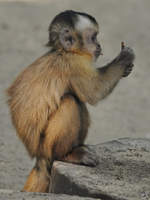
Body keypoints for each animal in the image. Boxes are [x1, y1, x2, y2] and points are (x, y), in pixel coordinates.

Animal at [6, 10, 135, 192]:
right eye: (93, 38)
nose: (99, 45)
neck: (64, 51)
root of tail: (39, 157)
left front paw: (126, 67)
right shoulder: (74, 63)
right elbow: (94, 92)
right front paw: (125, 59)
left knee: (77, 101)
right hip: (46, 147)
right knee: (71, 101)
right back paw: (65, 155)